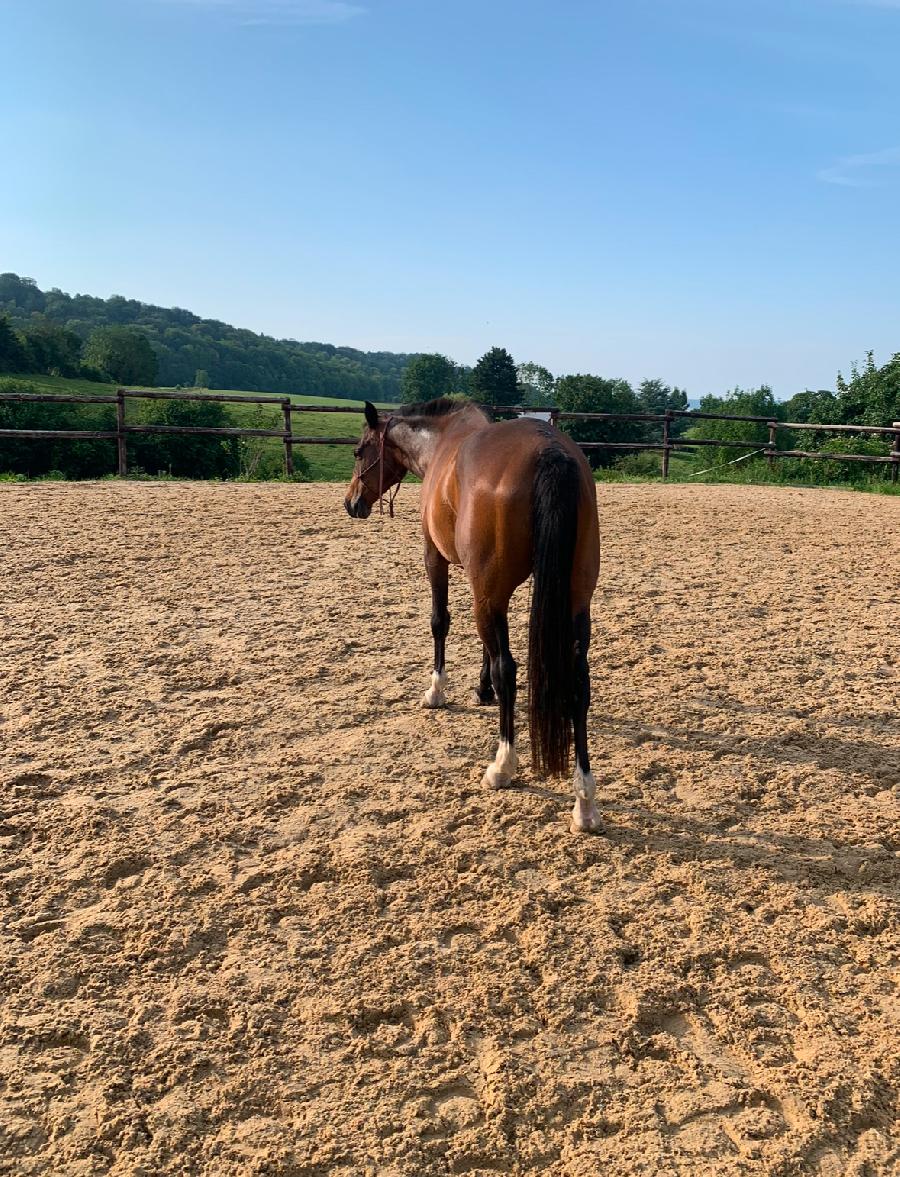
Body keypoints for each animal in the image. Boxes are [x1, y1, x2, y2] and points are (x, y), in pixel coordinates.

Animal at [343, 400, 602, 833]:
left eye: (360, 451)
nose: (351, 502)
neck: (440, 444)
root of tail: (550, 450)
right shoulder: (485, 587)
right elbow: (485, 646)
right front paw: (482, 691)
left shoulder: (437, 558)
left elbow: (440, 621)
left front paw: (437, 691)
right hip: (574, 600)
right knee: (578, 684)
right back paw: (584, 802)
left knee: (508, 670)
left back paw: (502, 765)